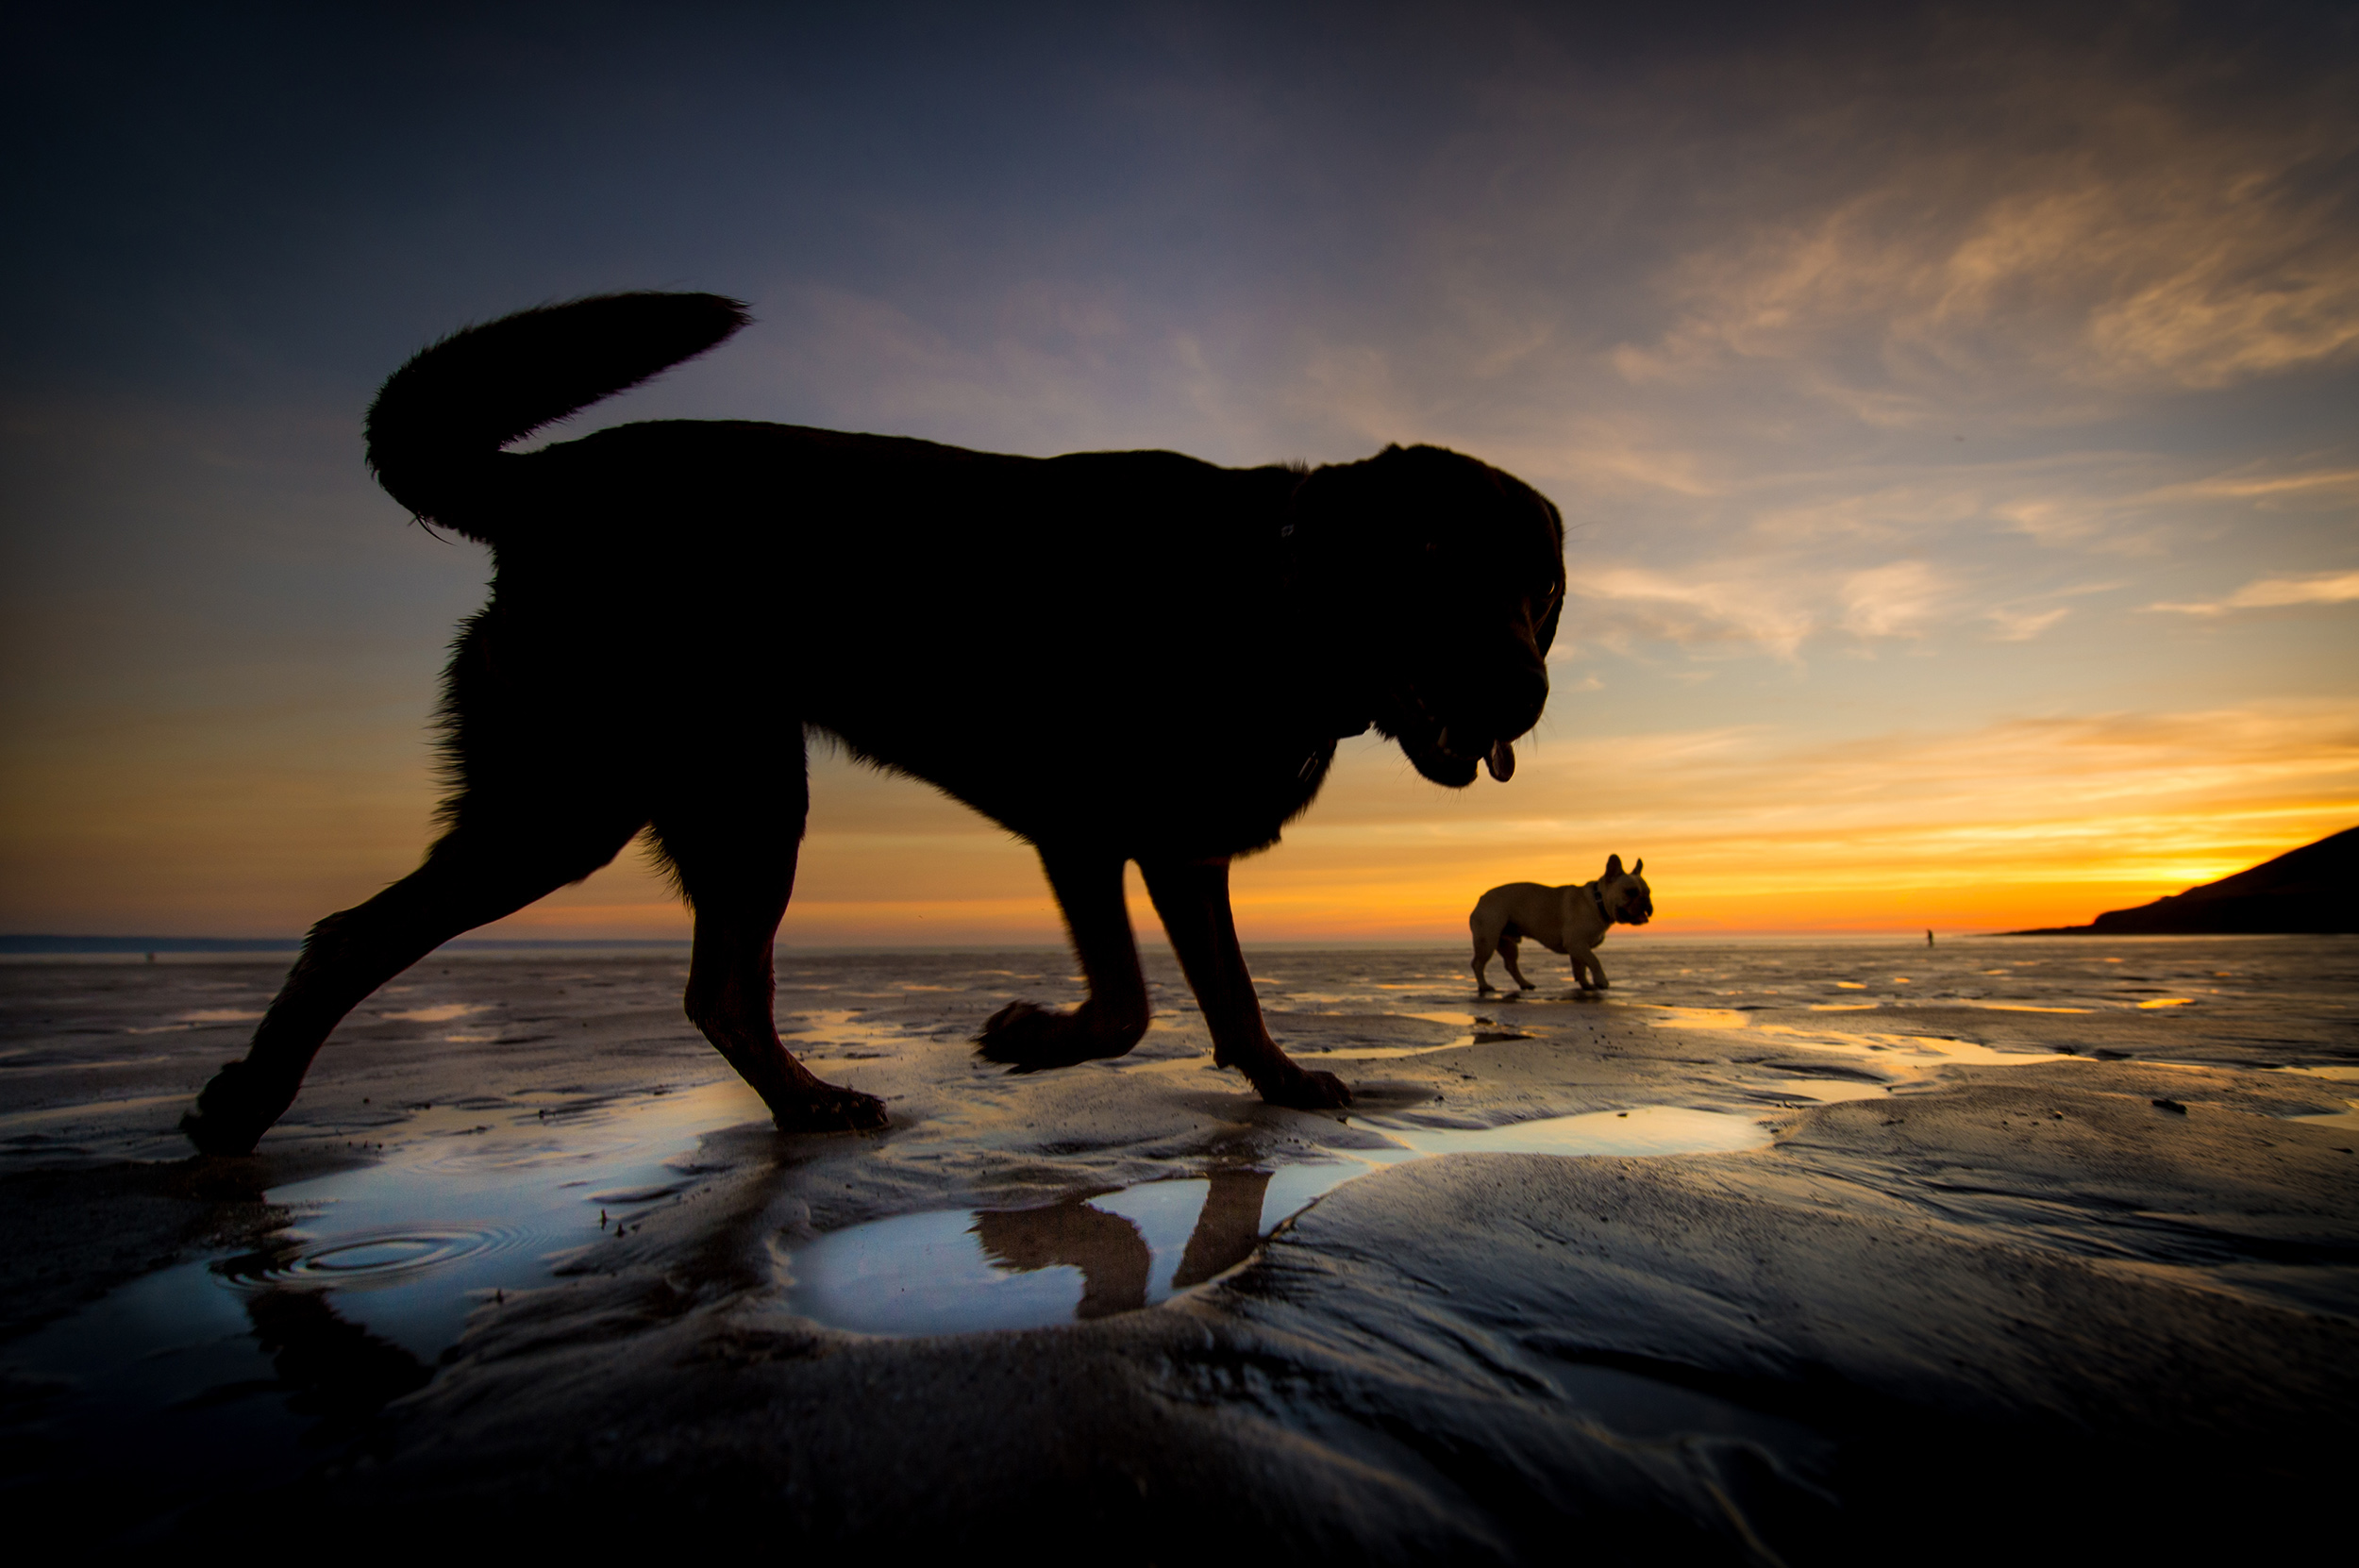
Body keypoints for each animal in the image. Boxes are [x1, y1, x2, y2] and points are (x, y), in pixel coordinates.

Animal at [184, 293, 1566, 1150]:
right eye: (1434, 559)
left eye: (1539, 589)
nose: (1527, 694)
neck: (1276, 597)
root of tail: (542, 484)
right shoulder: (1082, 827)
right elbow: (1130, 1005)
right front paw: (1032, 1039)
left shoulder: (1177, 849)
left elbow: (1229, 992)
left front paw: (1276, 1082)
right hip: (583, 801)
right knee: (352, 936)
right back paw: (244, 1107)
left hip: (735, 796)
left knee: (718, 988)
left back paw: (802, 1107)